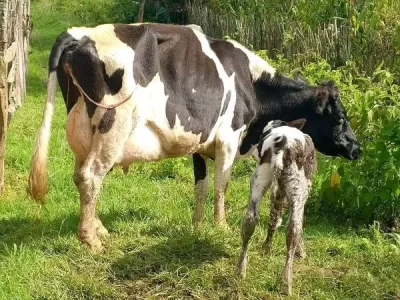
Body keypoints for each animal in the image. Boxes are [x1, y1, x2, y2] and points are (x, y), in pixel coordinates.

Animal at [236, 119, 318, 296]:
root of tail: (281, 144)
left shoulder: (277, 189)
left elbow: (274, 217)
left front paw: (266, 248)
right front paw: (301, 252)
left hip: (259, 178)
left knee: (250, 220)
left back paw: (240, 269)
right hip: (298, 187)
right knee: (293, 228)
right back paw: (286, 284)